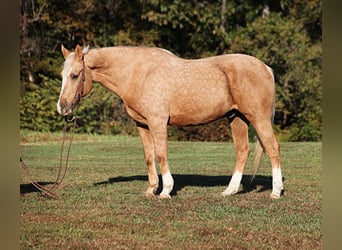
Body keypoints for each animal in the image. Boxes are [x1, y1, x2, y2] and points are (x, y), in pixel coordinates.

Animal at [58, 44, 284, 199]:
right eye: (62, 75)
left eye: (75, 75)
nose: (62, 107)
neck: (138, 74)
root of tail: (266, 68)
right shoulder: (143, 125)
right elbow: (149, 156)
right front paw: (151, 189)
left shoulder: (157, 122)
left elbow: (161, 154)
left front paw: (166, 190)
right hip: (237, 118)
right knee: (242, 150)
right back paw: (230, 190)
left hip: (259, 118)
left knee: (272, 148)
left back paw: (275, 191)